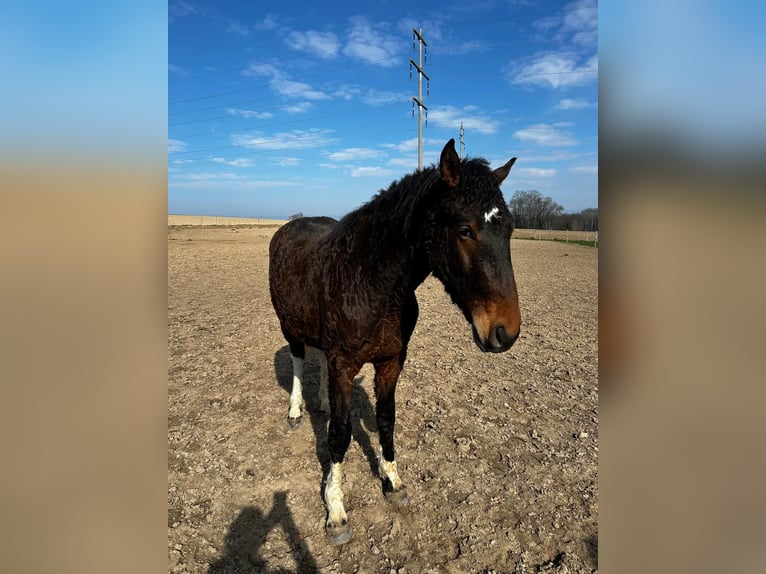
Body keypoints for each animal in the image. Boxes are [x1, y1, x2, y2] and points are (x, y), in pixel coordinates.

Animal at [268, 139, 521, 545]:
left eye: (510, 229)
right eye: (465, 230)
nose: (505, 331)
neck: (371, 280)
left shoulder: (390, 361)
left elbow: (386, 419)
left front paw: (392, 480)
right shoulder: (344, 365)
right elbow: (339, 435)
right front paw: (335, 510)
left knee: (318, 359)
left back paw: (320, 402)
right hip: (289, 328)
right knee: (297, 359)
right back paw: (296, 411)